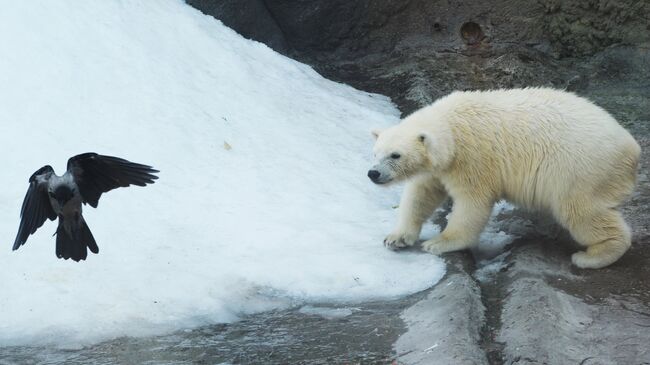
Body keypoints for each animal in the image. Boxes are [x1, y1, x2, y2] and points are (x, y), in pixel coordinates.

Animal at [370, 88, 636, 268]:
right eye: (375, 152)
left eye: (395, 155)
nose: (373, 174)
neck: (452, 127)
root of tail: (632, 147)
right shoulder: (438, 169)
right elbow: (421, 195)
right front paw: (396, 238)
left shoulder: (472, 159)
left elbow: (472, 203)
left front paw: (438, 243)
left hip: (579, 168)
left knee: (580, 211)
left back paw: (591, 256)